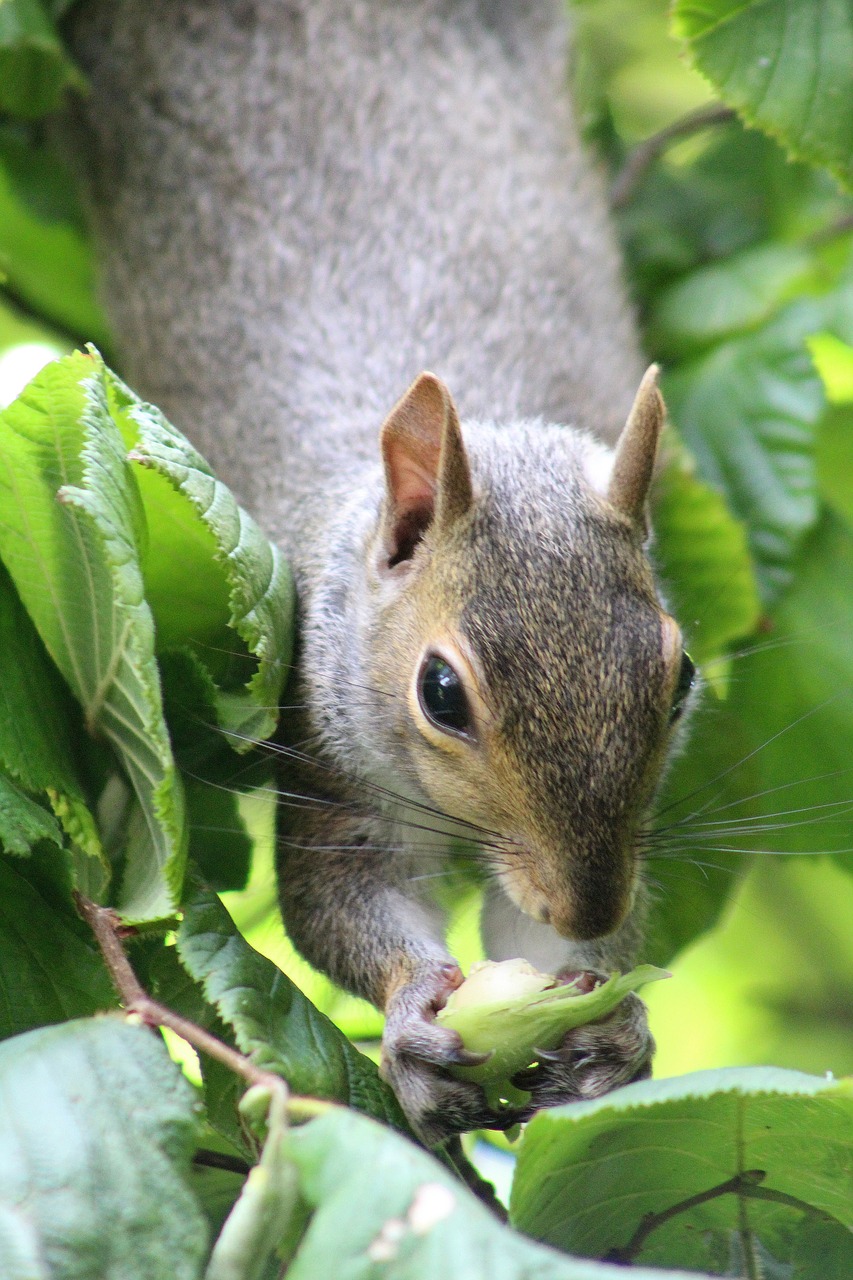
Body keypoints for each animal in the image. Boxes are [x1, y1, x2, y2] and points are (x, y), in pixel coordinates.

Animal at [63, 0, 696, 1141]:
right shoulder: (322, 743)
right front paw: (408, 1024)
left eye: (682, 680)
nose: (589, 902)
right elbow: (336, 905)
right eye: (439, 692)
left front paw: (612, 1028)